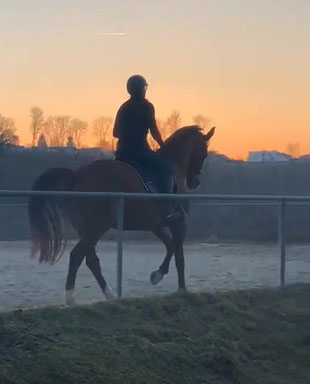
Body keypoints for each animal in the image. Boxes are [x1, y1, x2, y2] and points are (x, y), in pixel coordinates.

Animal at [27, 125, 214, 304]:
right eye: (204, 153)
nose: (195, 182)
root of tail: (78, 174)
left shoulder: (156, 225)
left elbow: (170, 247)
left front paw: (157, 275)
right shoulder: (178, 223)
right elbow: (179, 256)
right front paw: (182, 289)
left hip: (86, 228)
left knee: (91, 259)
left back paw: (109, 294)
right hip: (97, 226)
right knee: (77, 255)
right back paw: (71, 297)